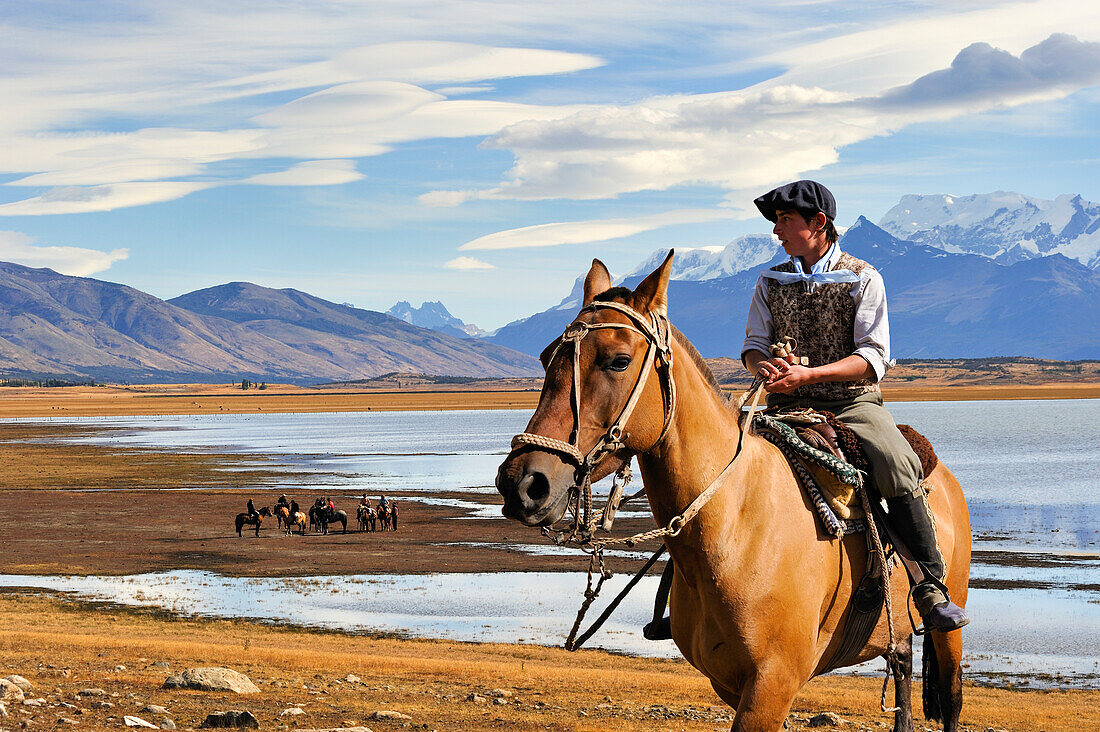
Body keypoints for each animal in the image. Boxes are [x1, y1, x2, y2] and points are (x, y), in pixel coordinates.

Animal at [495, 253, 968, 730]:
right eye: (545, 357)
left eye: (619, 360)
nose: (522, 483)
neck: (733, 526)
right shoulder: (729, 683)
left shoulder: (773, 684)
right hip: (898, 639)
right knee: (903, 675)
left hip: (949, 628)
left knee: (949, 697)